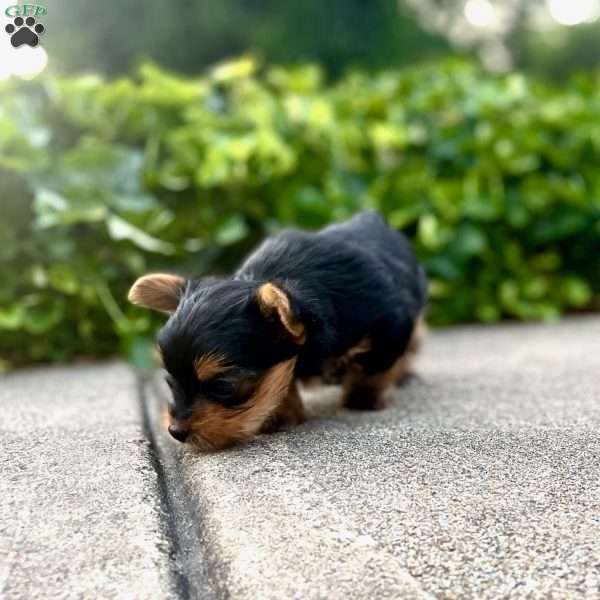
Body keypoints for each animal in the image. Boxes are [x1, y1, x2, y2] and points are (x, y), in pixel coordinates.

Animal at [127, 211, 426, 450]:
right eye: (169, 381)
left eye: (223, 386)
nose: (175, 432)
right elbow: (282, 382)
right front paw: (281, 415)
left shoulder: (389, 323)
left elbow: (373, 368)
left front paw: (362, 398)